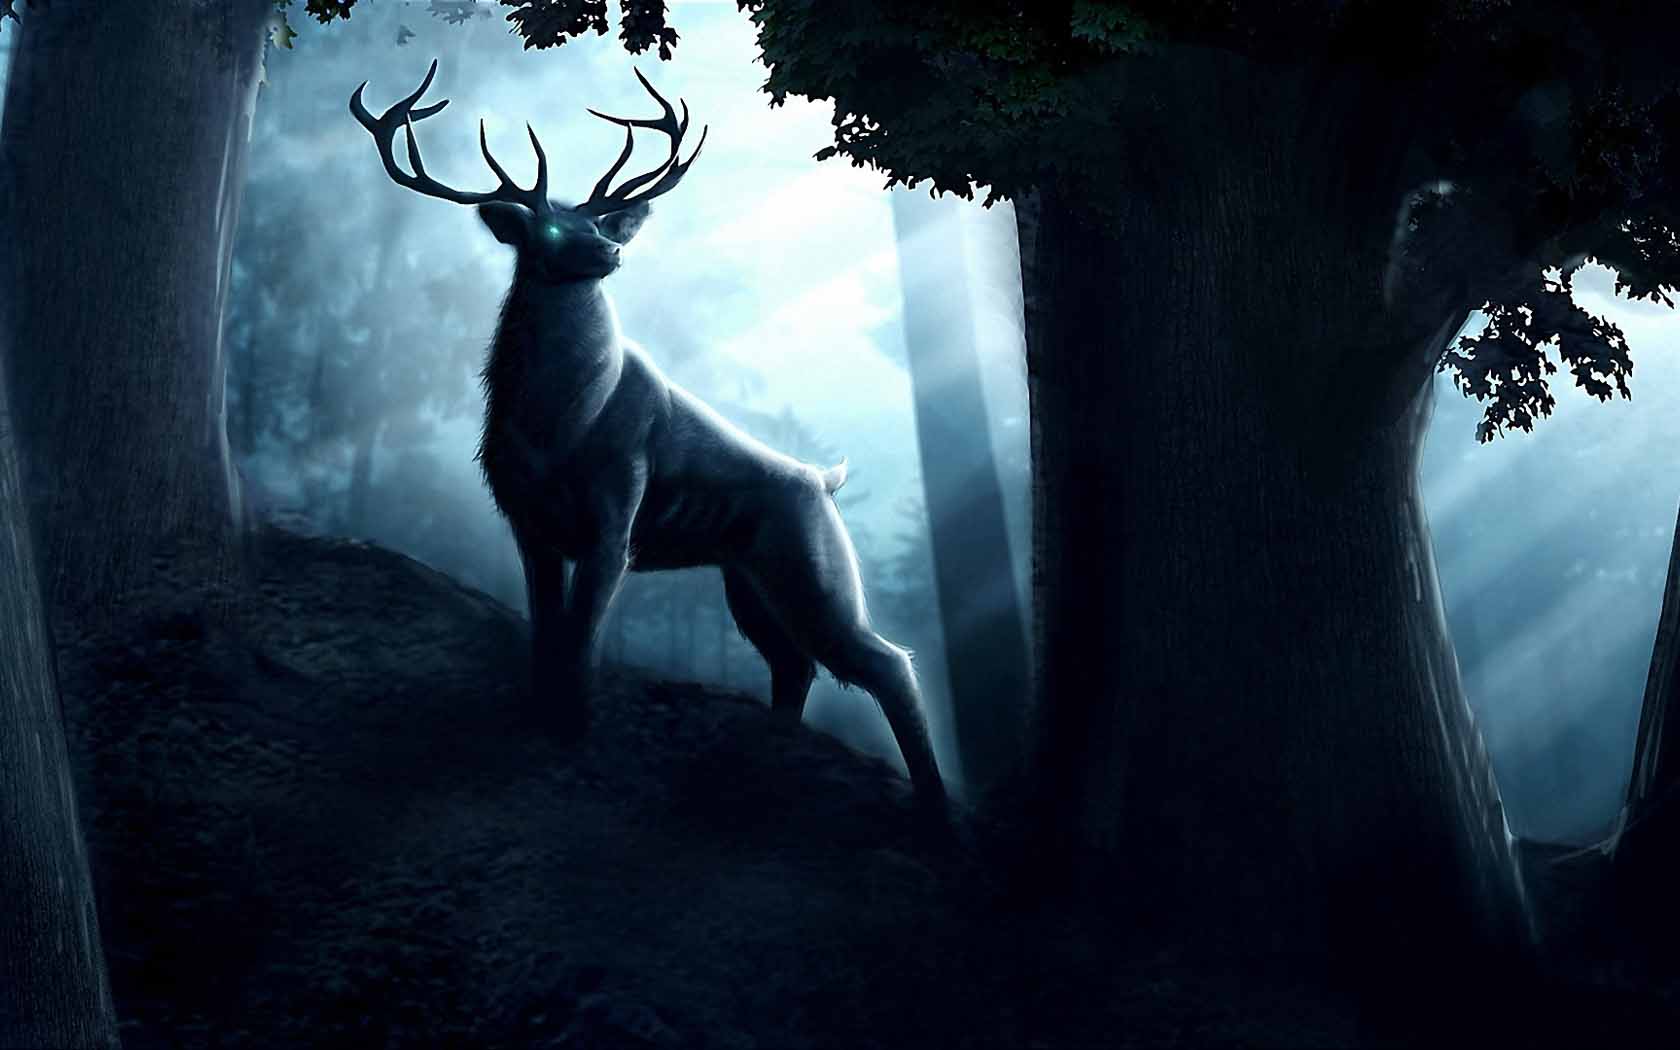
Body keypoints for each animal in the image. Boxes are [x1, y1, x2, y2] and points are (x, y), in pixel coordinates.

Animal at [350, 62, 946, 810]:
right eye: (548, 232)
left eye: (598, 222)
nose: (610, 249)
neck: (559, 426)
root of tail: (825, 481)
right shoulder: (527, 522)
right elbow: (547, 629)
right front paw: (537, 716)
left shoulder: (617, 514)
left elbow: (583, 637)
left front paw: (573, 730)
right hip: (747, 581)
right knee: (795, 665)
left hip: (811, 565)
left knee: (886, 661)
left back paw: (935, 805)